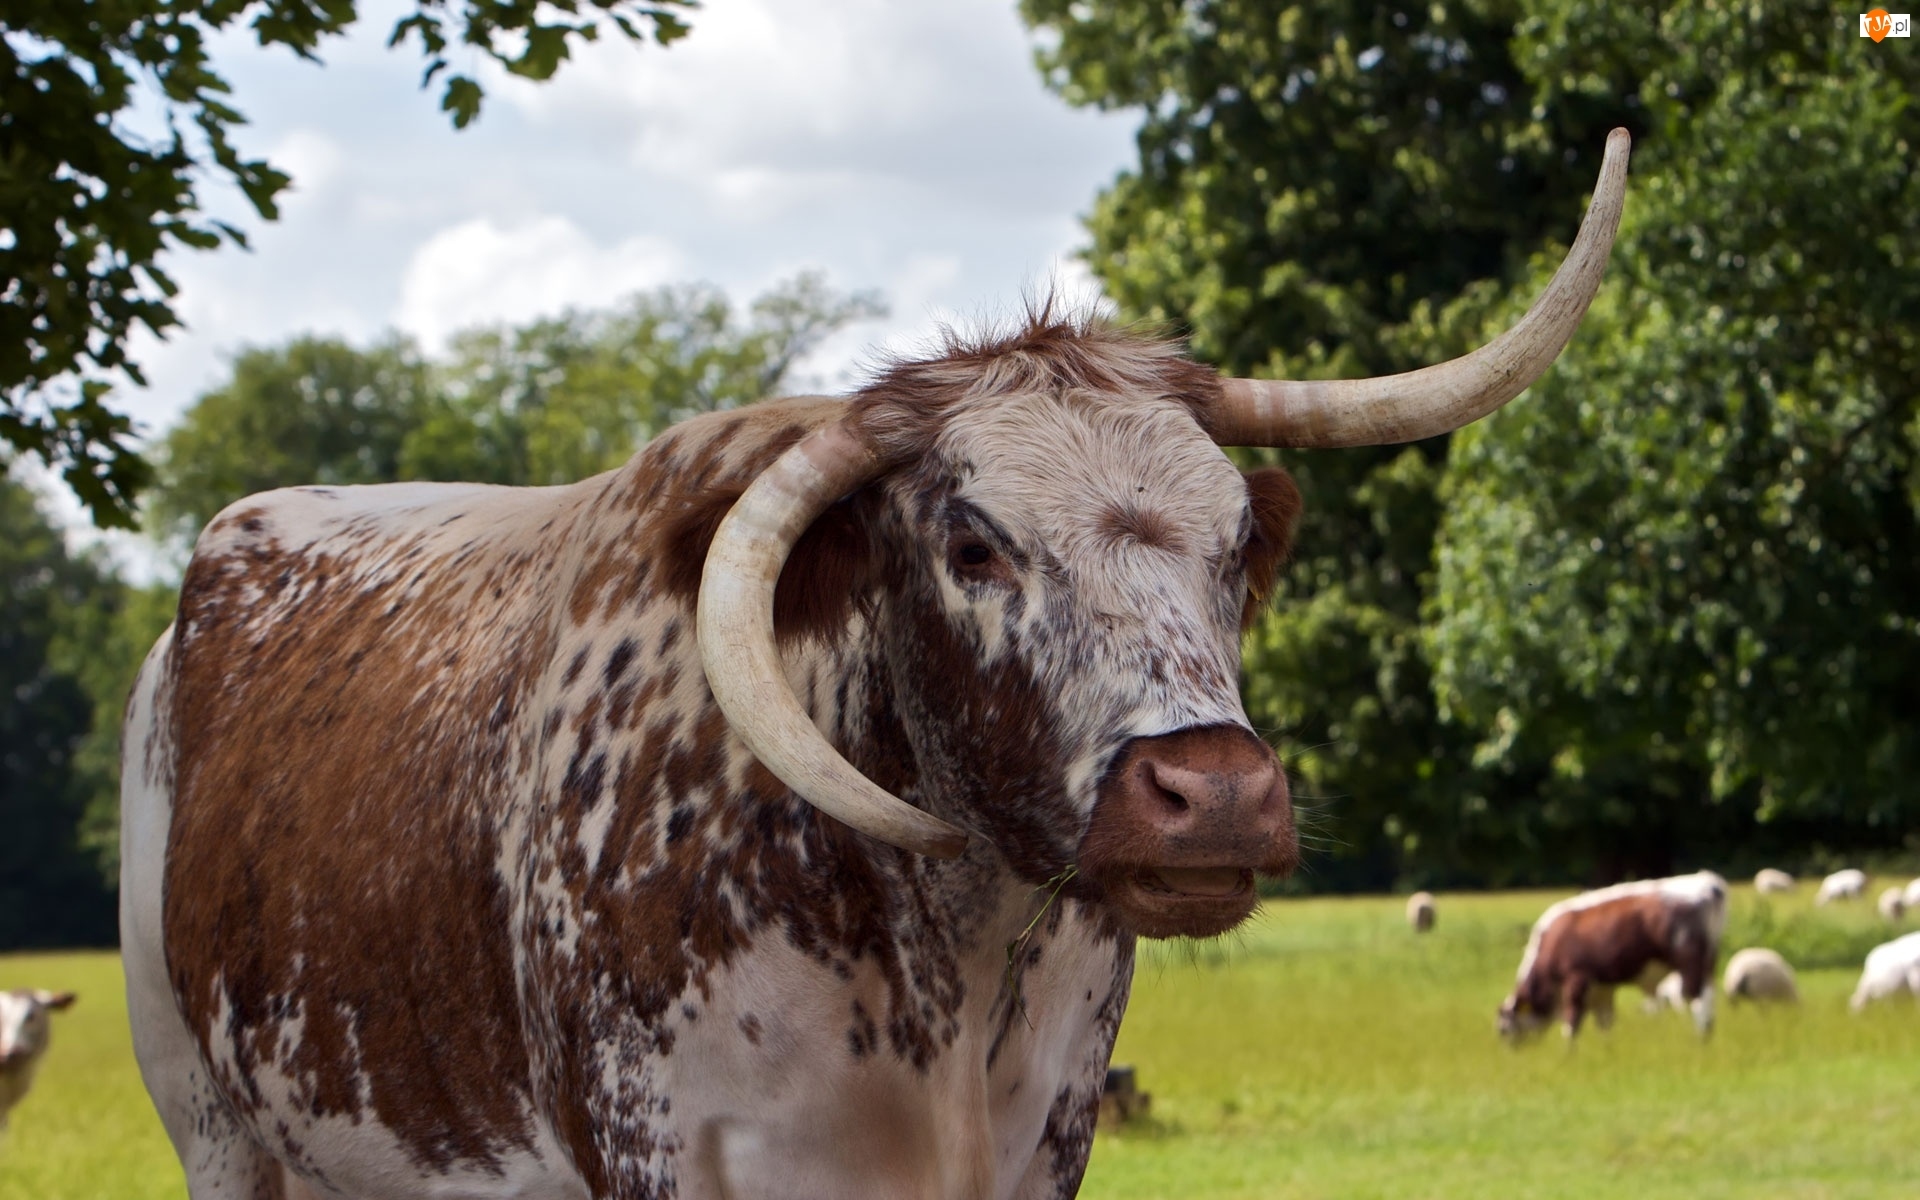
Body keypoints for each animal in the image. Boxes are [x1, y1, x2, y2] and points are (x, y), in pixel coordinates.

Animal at [121, 135, 1631, 1200]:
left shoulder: (1044, 1150)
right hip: (211, 1123)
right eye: (972, 544)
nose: (1213, 796)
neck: (943, 965)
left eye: (1239, 538)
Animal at [1498, 871, 1728, 1041]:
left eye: (1504, 1031)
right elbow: (1605, 1025)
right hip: (1708, 963)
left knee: (1699, 1004)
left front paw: (1568, 1058)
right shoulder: (1603, 990)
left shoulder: (1576, 980)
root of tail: (1706, 882)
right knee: (1710, 1003)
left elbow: (1571, 1025)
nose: (1511, 1053)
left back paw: (1699, 1042)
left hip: (1690, 966)